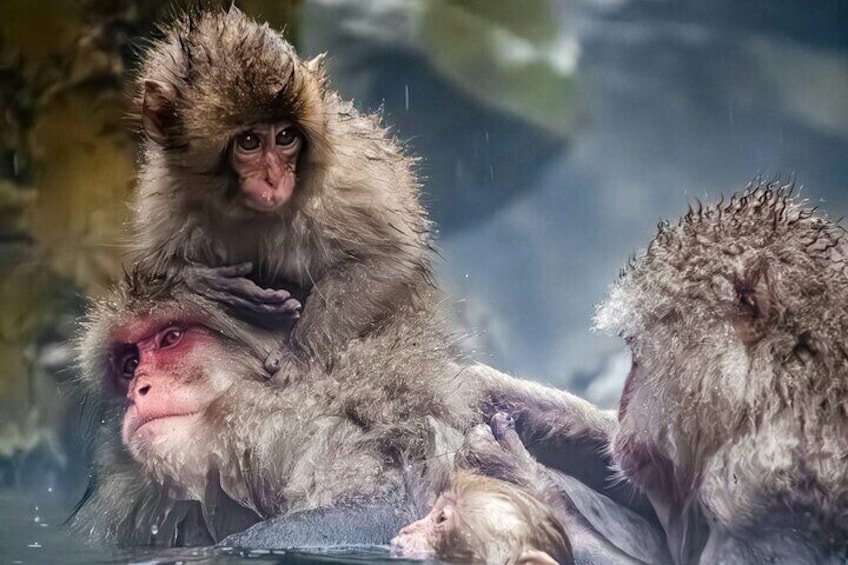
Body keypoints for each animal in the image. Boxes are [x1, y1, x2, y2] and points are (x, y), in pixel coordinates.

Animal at [131, 7, 434, 374]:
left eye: (286, 136)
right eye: (249, 141)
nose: (275, 179)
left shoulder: (346, 183)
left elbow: (386, 258)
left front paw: (299, 355)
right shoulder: (164, 192)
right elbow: (159, 266)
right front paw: (214, 285)